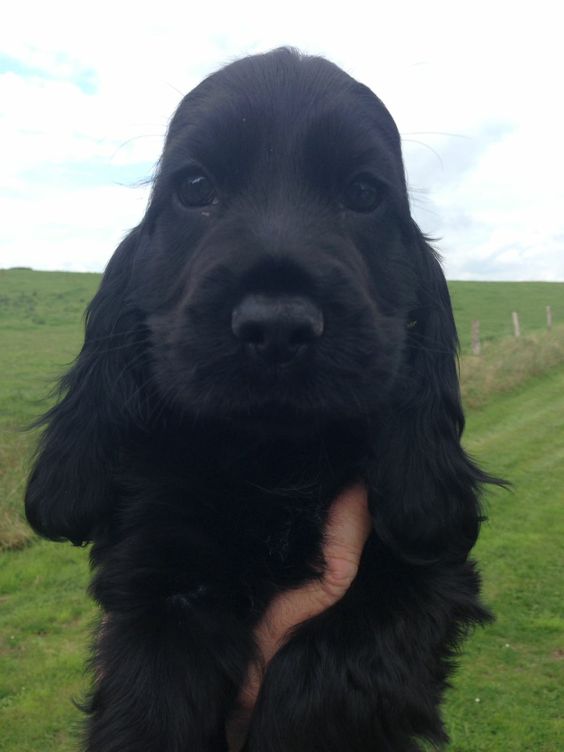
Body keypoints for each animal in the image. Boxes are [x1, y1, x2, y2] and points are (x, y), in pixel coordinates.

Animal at [26, 48, 494, 752]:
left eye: (364, 193)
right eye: (194, 187)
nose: (277, 326)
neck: (271, 464)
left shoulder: (422, 573)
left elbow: (330, 666)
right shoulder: (159, 584)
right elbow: (149, 711)